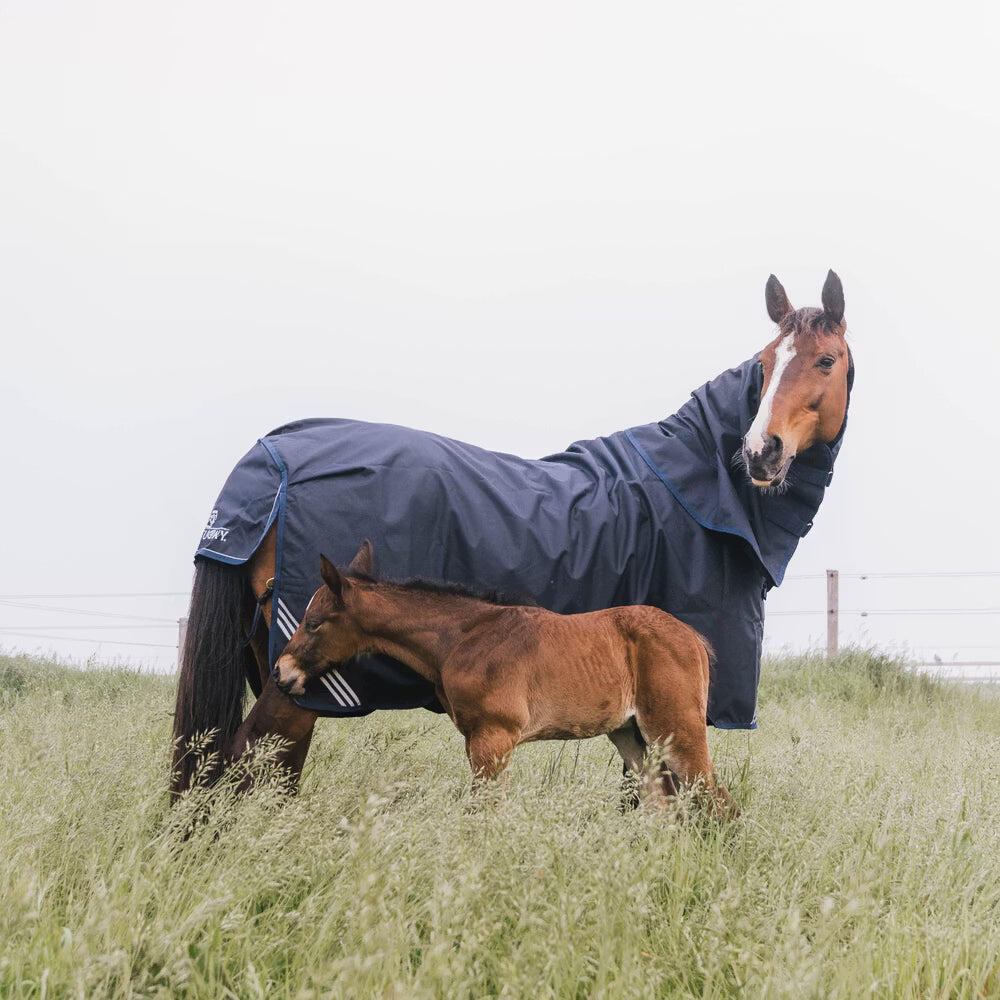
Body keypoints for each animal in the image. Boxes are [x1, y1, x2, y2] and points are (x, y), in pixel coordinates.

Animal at [272, 542, 733, 816]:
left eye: (313, 622)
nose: (281, 673)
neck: (464, 637)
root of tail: (693, 637)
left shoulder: (493, 737)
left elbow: (485, 813)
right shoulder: (476, 740)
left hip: (675, 729)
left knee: (719, 804)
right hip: (632, 735)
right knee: (665, 805)